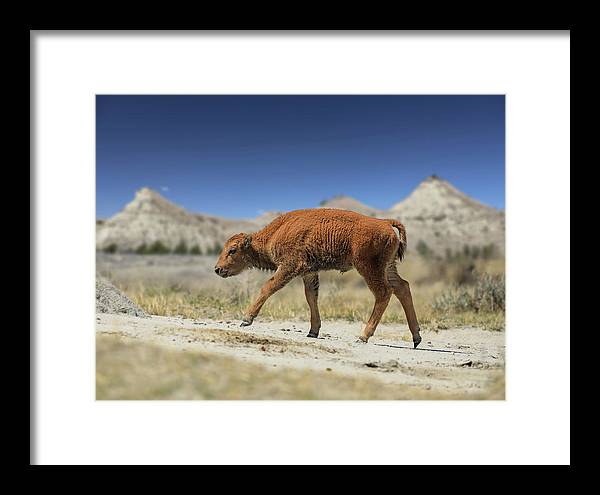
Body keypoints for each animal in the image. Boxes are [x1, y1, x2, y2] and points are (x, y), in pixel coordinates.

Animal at [214, 207, 422, 346]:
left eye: (232, 250)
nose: (217, 269)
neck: (274, 233)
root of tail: (385, 223)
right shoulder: (309, 273)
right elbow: (311, 297)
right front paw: (313, 332)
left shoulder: (289, 267)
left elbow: (268, 286)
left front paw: (246, 319)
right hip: (388, 267)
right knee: (402, 287)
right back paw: (416, 337)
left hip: (369, 268)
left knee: (384, 293)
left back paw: (363, 336)